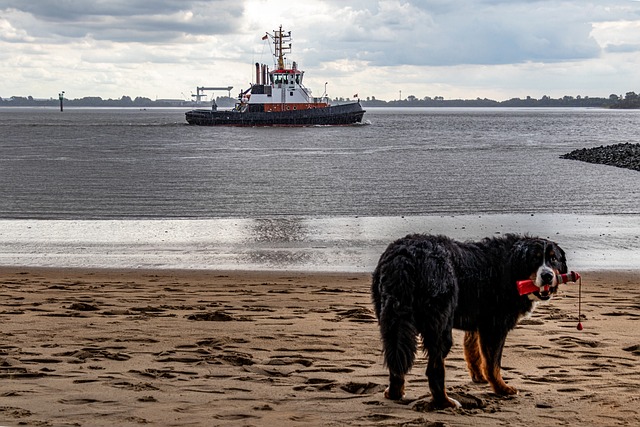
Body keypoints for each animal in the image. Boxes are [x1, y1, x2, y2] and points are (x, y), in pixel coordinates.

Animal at [372, 236, 568, 410]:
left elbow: (474, 352)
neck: (512, 266)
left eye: (554, 259)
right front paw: (502, 389)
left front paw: (478, 376)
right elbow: (493, 364)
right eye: (534, 259)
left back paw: (394, 393)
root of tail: (404, 257)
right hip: (440, 328)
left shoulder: (477, 323)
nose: (547, 276)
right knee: (434, 370)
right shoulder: (495, 326)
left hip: (393, 322)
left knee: (396, 362)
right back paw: (445, 403)